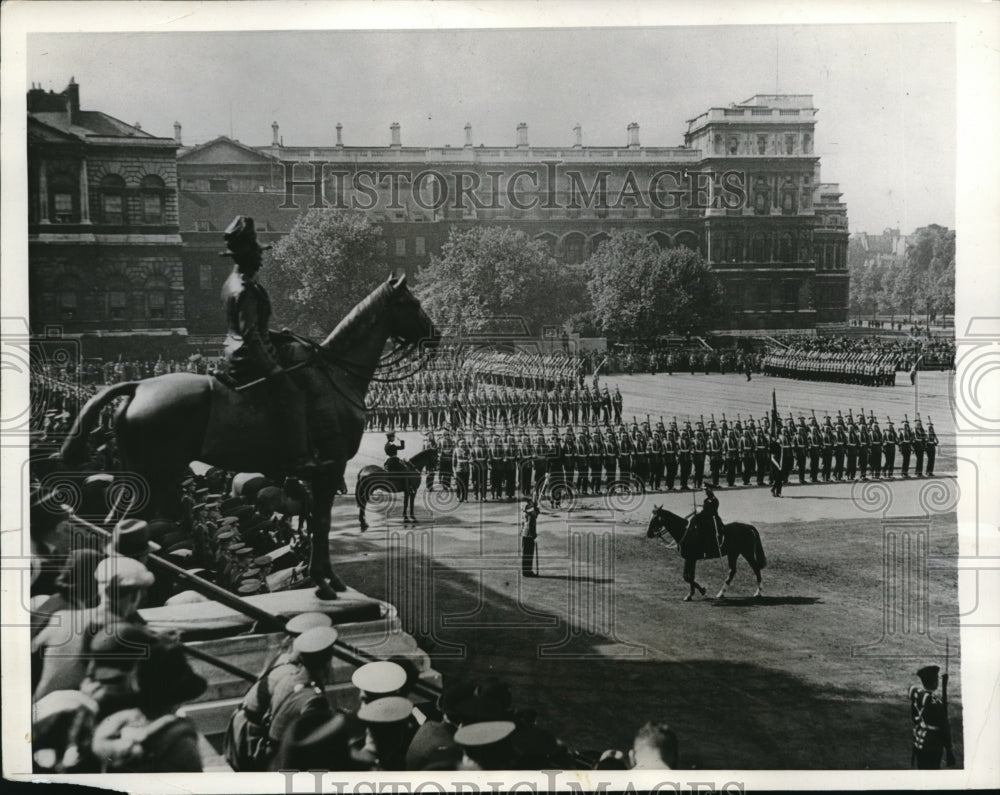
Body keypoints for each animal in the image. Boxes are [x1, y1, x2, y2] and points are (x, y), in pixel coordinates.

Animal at [60, 274, 436, 596]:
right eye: (412, 302)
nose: (435, 335)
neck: (336, 374)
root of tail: (138, 386)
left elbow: (315, 523)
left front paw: (319, 576)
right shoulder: (331, 467)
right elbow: (323, 523)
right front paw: (326, 580)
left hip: (140, 474)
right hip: (153, 474)